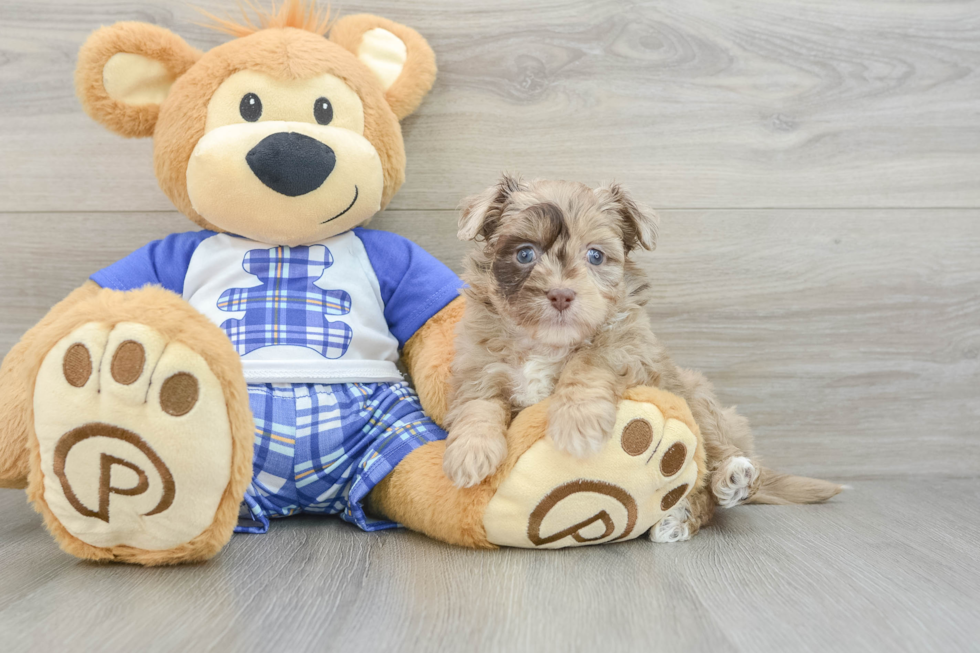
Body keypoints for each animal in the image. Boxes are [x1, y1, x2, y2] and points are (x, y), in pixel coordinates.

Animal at [442, 176, 836, 544]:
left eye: (595, 256)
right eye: (525, 254)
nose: (561, 294)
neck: (547, 343)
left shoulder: (628, 348)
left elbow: (588, 362)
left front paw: (577, 423)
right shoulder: (477, 362)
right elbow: (478, 402)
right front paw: (469, 453)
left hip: (698, 399)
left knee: (712, 475)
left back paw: (720, 487)